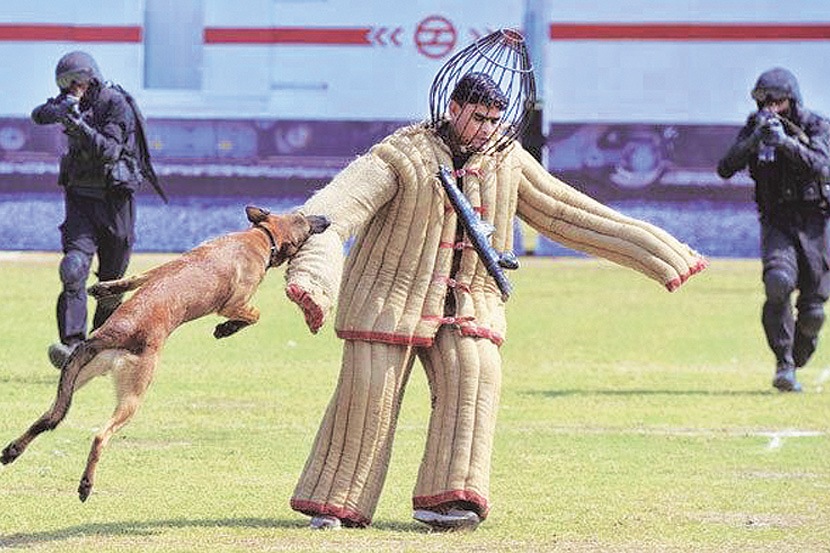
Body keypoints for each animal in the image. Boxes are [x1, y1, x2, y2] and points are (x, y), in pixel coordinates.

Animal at [0, 206, 332, 500]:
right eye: (305, 221)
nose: (327, 219)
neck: (261, 236)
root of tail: (114, 331)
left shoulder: (155, 272)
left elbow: (130, 280)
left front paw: (100, 288)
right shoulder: (233, 303)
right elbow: (254, 315)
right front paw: (225, 329)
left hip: (79, 378)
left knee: (47, 418)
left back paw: (12, 451)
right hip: (134, 395)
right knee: (99, 436)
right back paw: (85, 485)